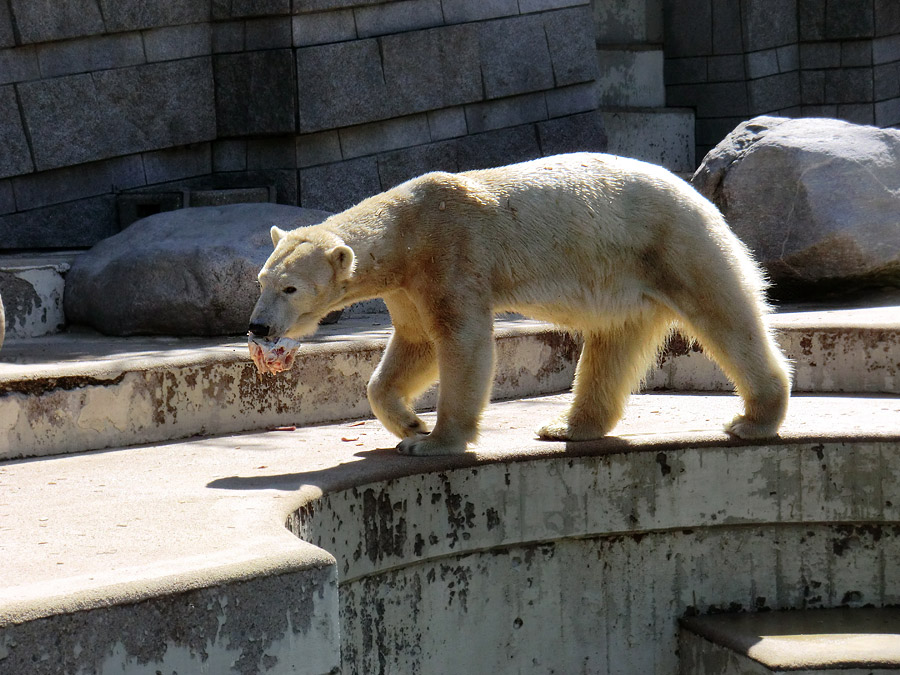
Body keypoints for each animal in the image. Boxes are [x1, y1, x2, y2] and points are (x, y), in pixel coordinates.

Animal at [250, 156, 792, 456]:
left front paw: (431, 441)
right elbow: (413, 344)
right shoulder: (406, 285)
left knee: (725, 315)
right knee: (612, 347)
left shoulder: (451, 253)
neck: (406, 226)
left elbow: (460, 340)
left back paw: (753, 419)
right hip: (625, 282)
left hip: (673, 243)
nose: (257, 327)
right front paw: (409, 423)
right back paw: (566, 426)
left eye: (290, 289)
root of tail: (696, 193)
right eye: (261, 280)